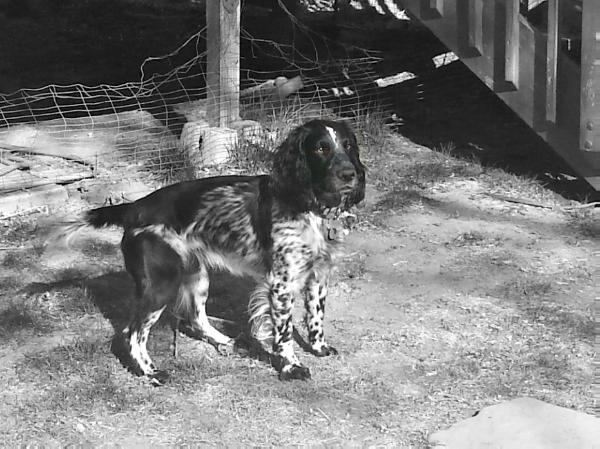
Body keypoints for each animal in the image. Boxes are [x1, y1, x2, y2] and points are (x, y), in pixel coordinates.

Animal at [64, 118, 366, 382]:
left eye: (348, 145)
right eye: (320, 148)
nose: (349, 174)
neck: (310, 207)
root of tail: (135, 207)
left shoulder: (318, 276)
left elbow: (316, 318)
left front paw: (318, 348)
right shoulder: (282, 284)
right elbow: (284, 333)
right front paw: (291, 367)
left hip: (197, 275)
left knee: (195, 318)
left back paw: (225, 341)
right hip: (162, 284)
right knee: (133, 332)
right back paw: (150, 372)